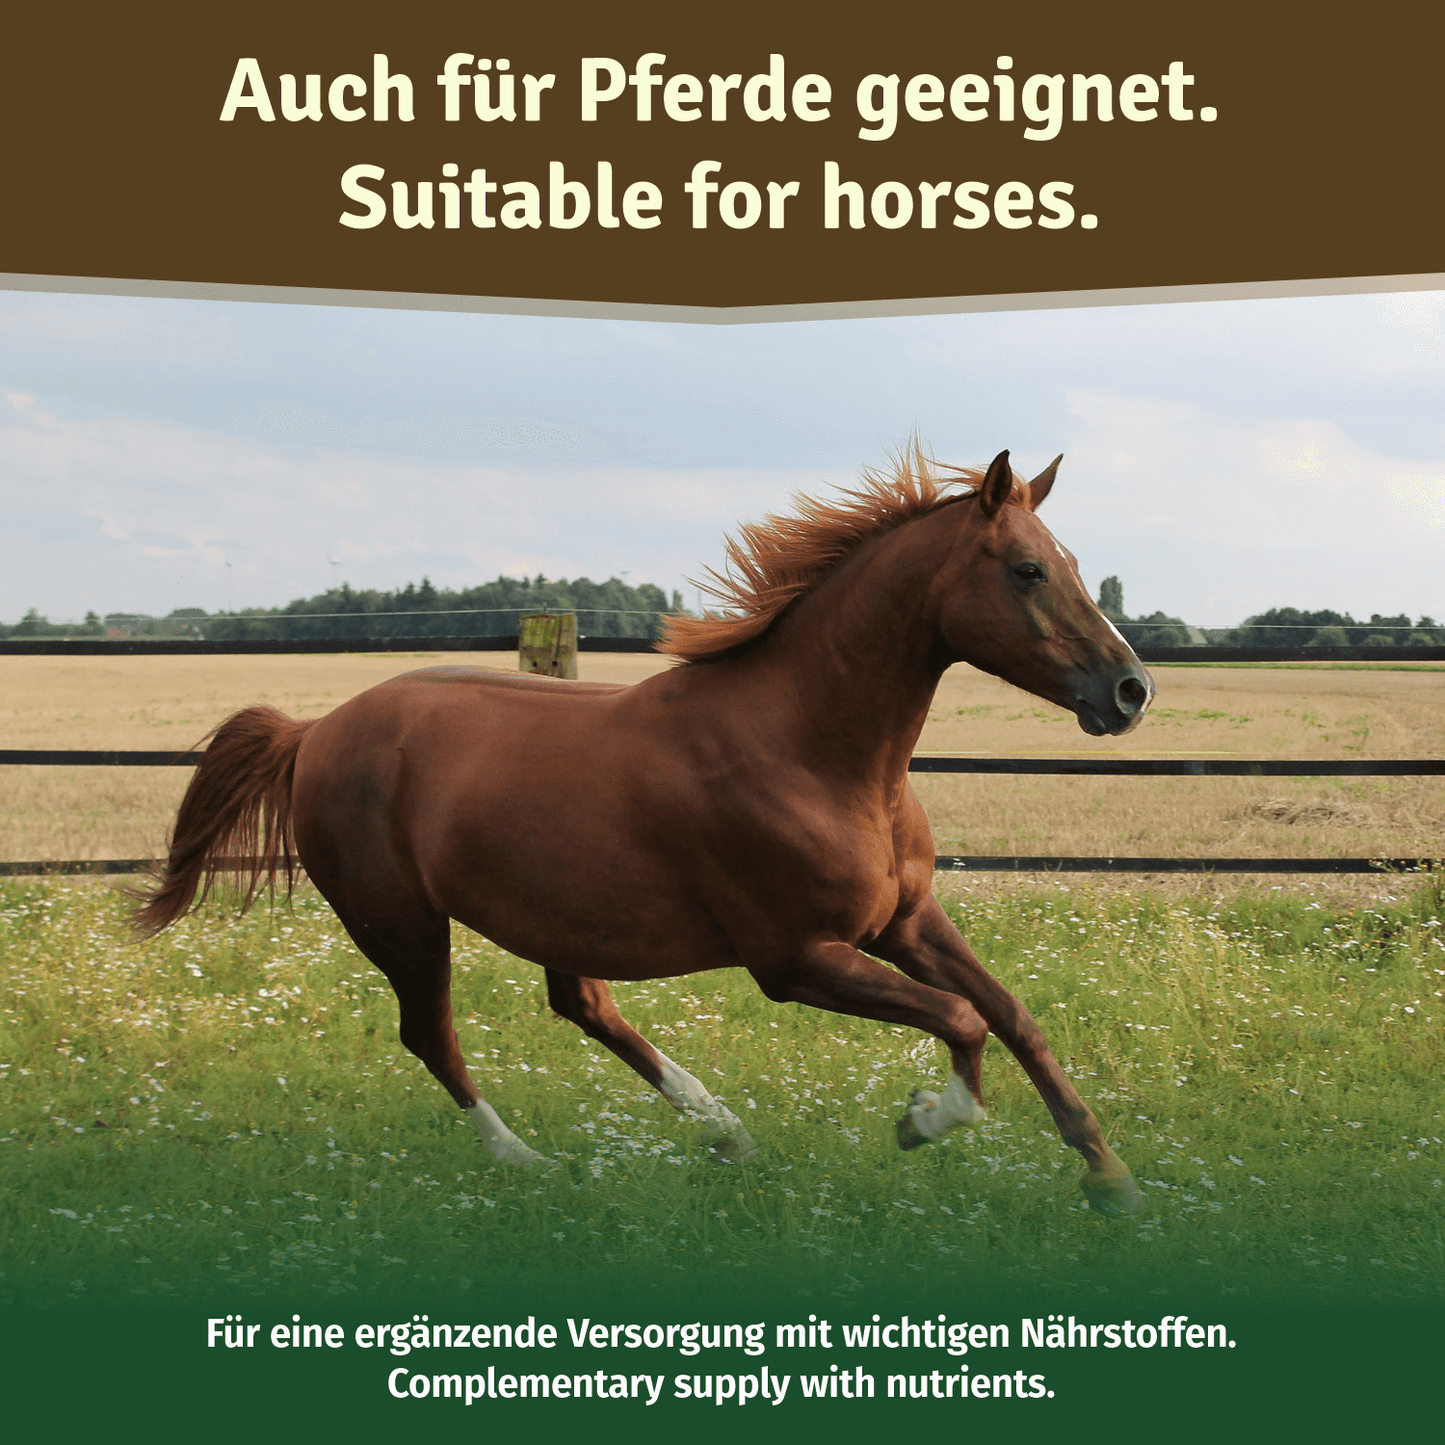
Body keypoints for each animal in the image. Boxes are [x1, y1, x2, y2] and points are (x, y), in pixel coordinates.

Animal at [134, 446, 1154, 1214]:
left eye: (1071, 561)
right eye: (1026, 569)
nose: (1130, 690)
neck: (810, 750)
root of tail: (314, 731)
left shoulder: (905, 920)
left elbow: (1010, 1014)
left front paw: (1109, 1178)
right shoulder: (794, 958)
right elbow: (960, 1018)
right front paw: (921, 1121)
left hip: (551, 912)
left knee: (581, 1006)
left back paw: (724, 1131)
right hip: (400, 924)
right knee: (433, 1035)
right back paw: (529, 1160)